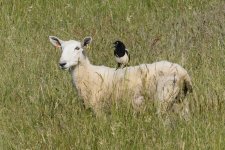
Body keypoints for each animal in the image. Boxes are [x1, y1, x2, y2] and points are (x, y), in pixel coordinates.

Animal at [48, 35, 192, 119]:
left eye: (77, 48)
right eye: (61, 48)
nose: (62, 63)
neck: (88, 73)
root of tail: (183, 72)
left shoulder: (98, 107)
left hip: (164, 96)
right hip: (180, 101)